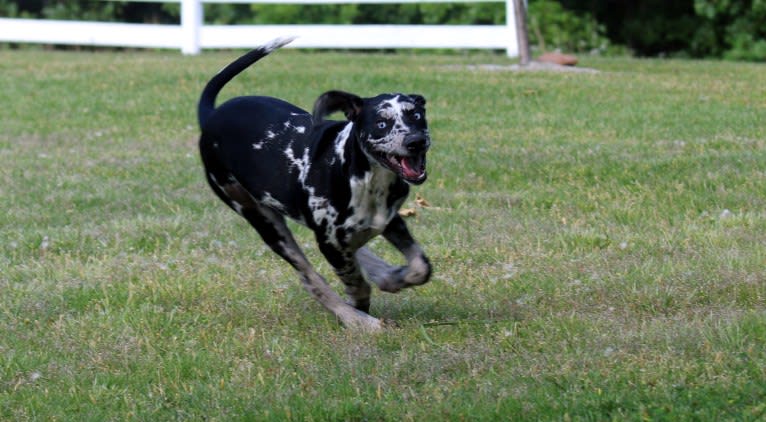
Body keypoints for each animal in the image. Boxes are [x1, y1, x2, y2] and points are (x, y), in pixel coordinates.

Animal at [196, 38, 432, 332]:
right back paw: (352, 317)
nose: (416, 141)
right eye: (381, 123)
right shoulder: (330, 242)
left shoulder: (390, 220)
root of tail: (211, 116)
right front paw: (361, 315)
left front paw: (395, 277)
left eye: (416, 116)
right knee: (311, 279)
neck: (363, 178)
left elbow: (421, 267)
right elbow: (356, 284)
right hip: (264, 221)